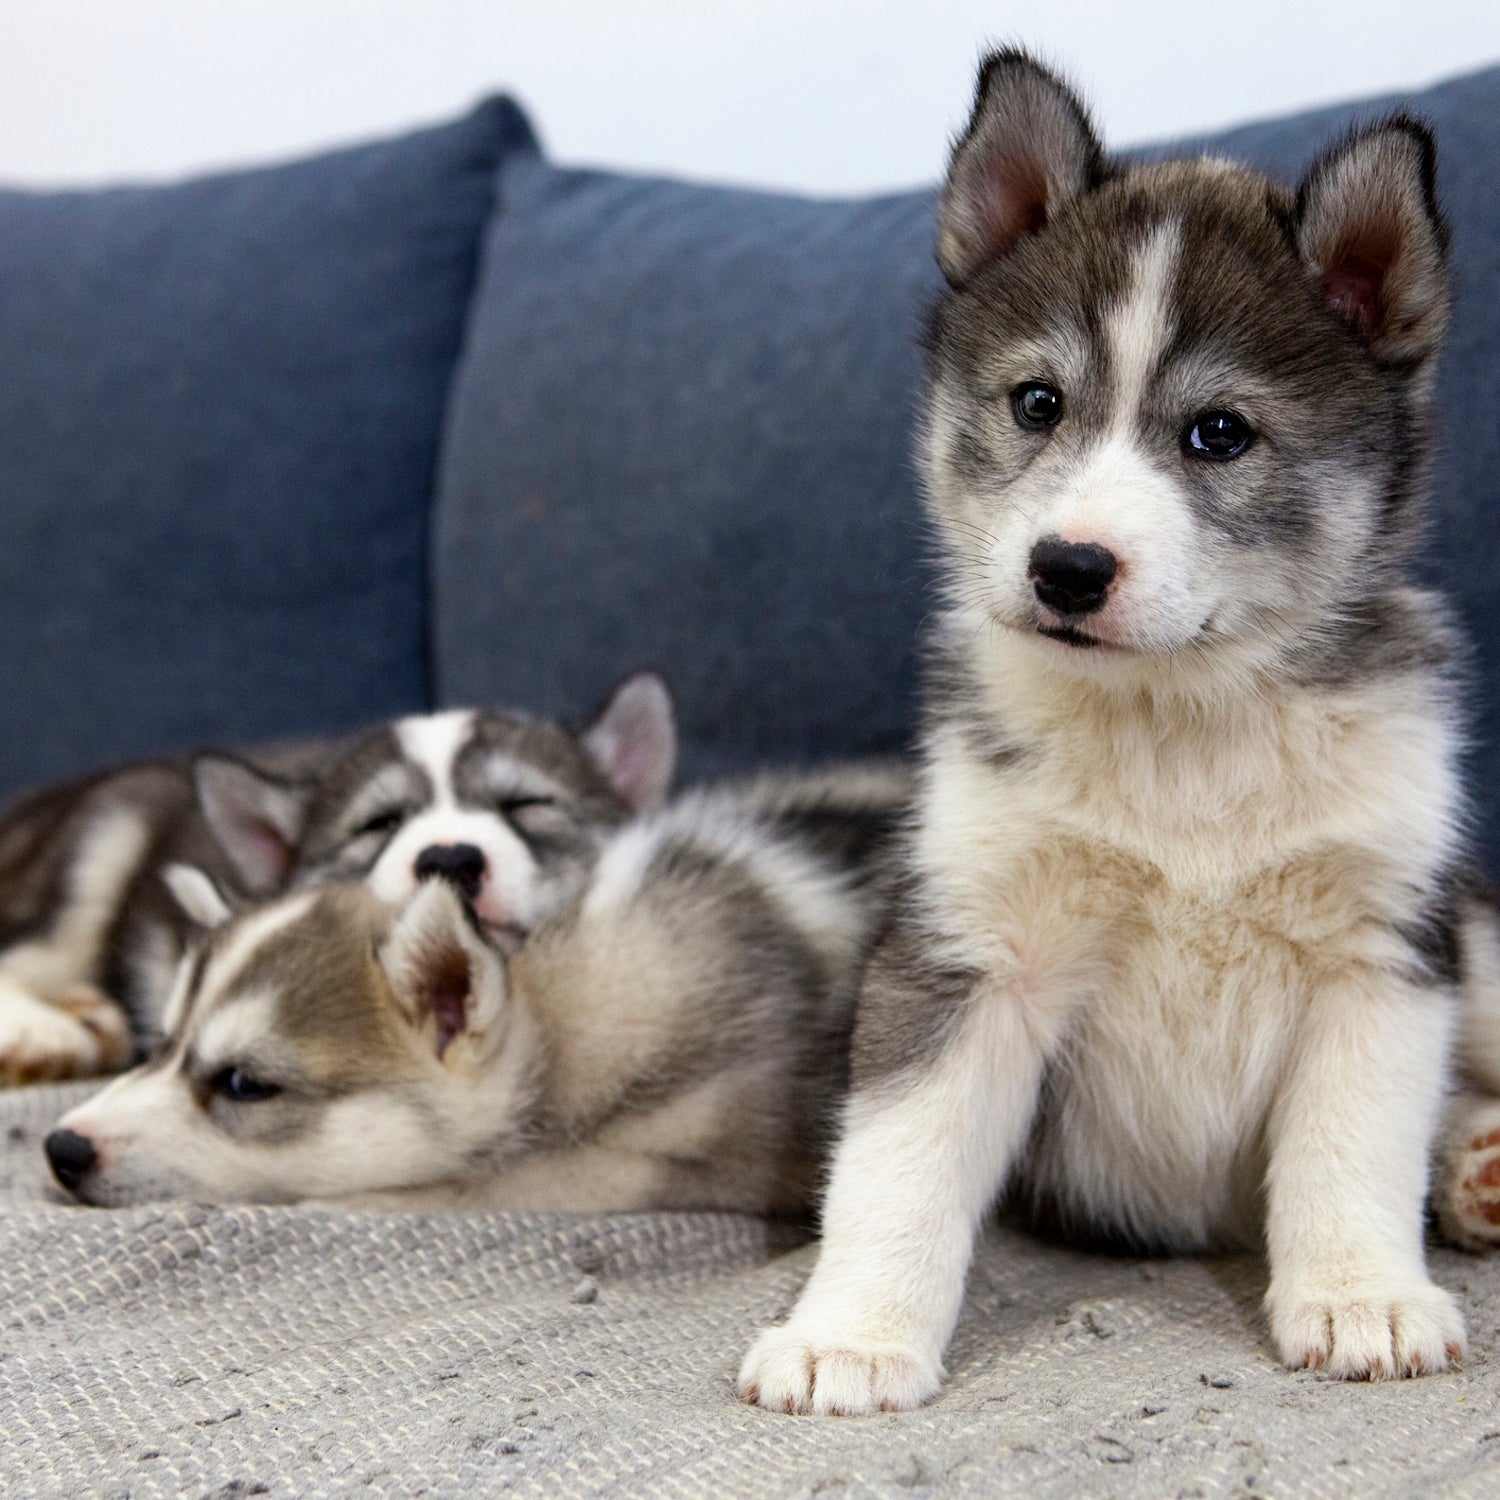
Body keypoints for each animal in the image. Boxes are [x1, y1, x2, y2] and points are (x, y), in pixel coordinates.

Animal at [741, 43, 1500, 1404]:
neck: (1176, 731)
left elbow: (1354, 1149)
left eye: (1220, 432)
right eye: (1039, 403)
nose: (1068, 568)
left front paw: (1362, 1298)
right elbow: (897, 1167)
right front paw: (853, 1336)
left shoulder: (1383, 950)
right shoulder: (970, 951)